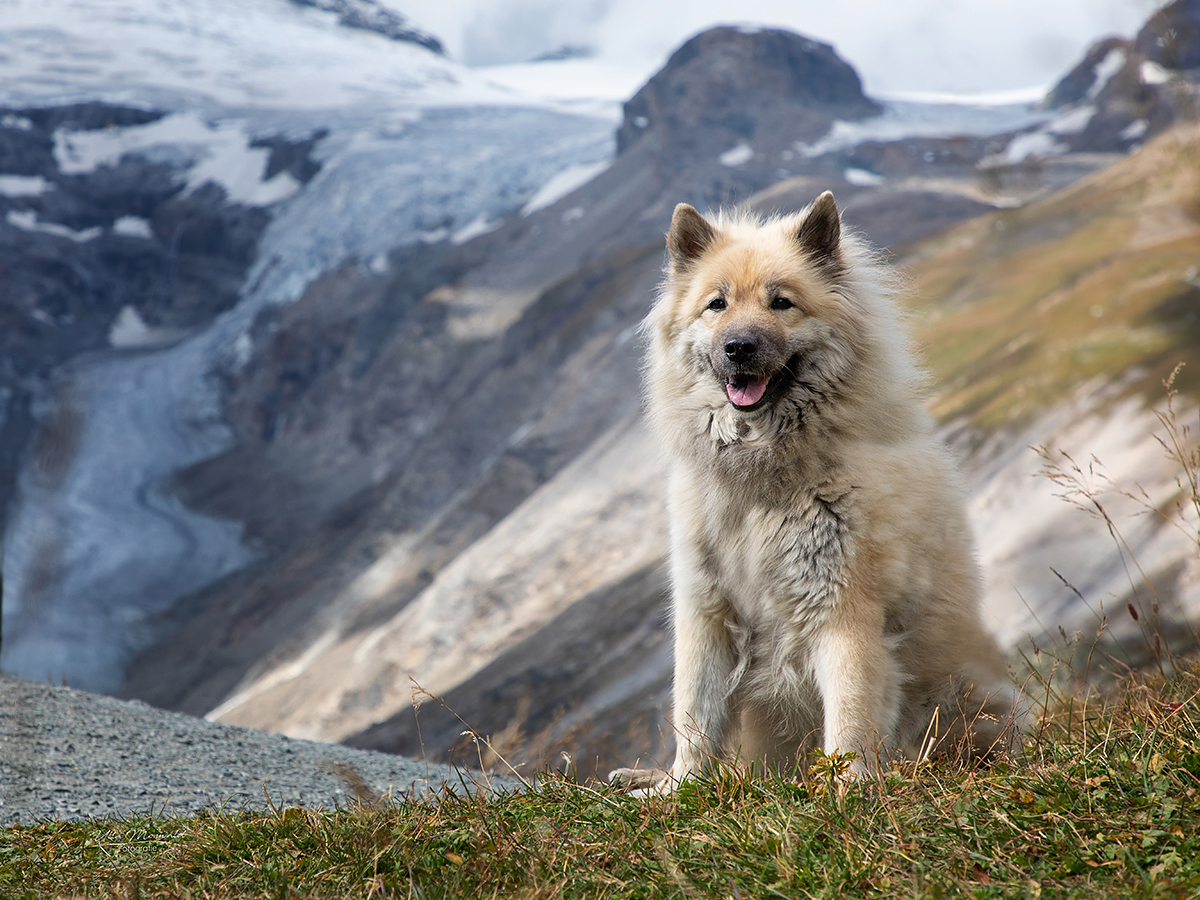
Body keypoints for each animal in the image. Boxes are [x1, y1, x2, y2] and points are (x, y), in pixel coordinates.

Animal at [619, 194, 1022, 792]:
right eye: (717, 304)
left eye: (781, 303)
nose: (738, 348)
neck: (763, 479)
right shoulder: (706, 614)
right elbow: (694, 718)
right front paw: (678, 791)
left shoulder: (843, 613)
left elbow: (849, 719)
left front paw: (847, 790)